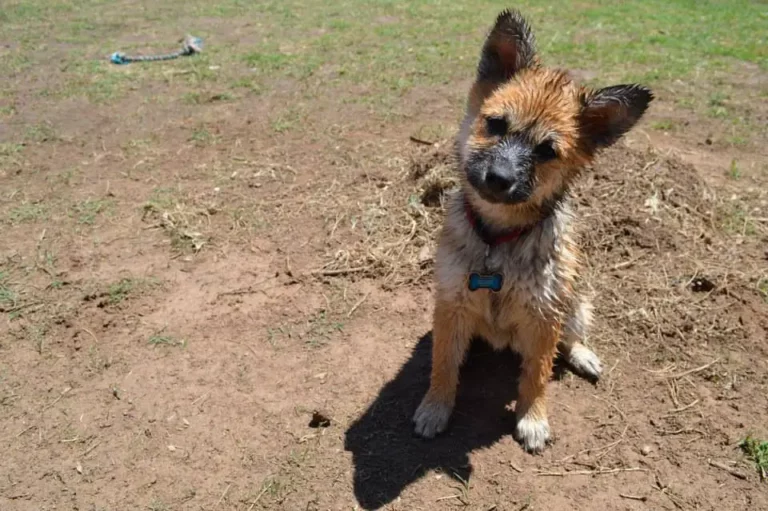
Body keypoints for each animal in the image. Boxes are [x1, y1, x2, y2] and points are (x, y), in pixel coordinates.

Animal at [412, 9, 652, 452]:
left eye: (547, 150)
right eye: (495, 124)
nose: (499, 178)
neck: (498, 239)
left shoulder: (544, 316)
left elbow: (537, 373)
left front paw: (533, 418)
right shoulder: (451, 303)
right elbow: (443, 364)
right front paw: (436, 406)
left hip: (574, 303)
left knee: (568, 338)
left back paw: (582, 355)